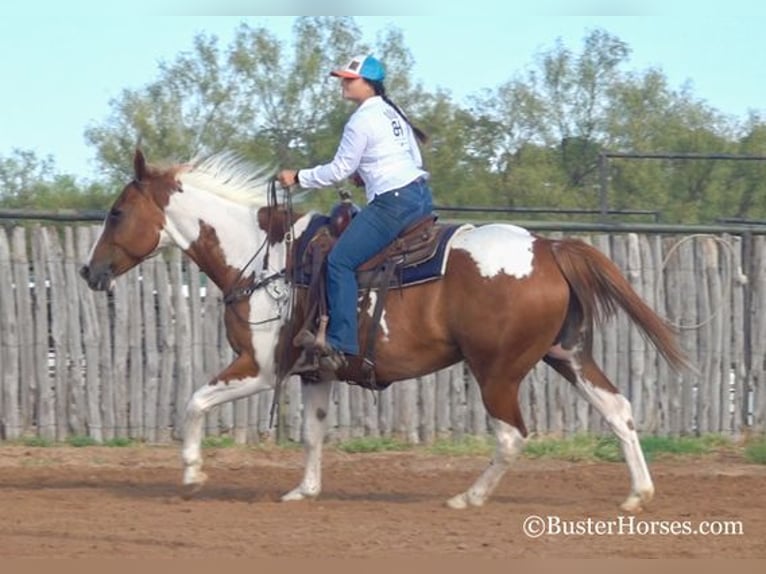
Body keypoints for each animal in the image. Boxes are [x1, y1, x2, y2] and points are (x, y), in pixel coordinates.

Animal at [81, 148, 688, 512]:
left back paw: (468, 498)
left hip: (497, 372)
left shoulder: (261, 367)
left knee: (512, 434)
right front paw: (304, 490)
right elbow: (313, 433)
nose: (90, 271)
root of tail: (547, 248)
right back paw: (638, 495)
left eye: (116, 212)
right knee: (618, 409)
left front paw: (190, 475)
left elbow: (193, 402)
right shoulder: (314, 373)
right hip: (567, 355)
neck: (262, 258)